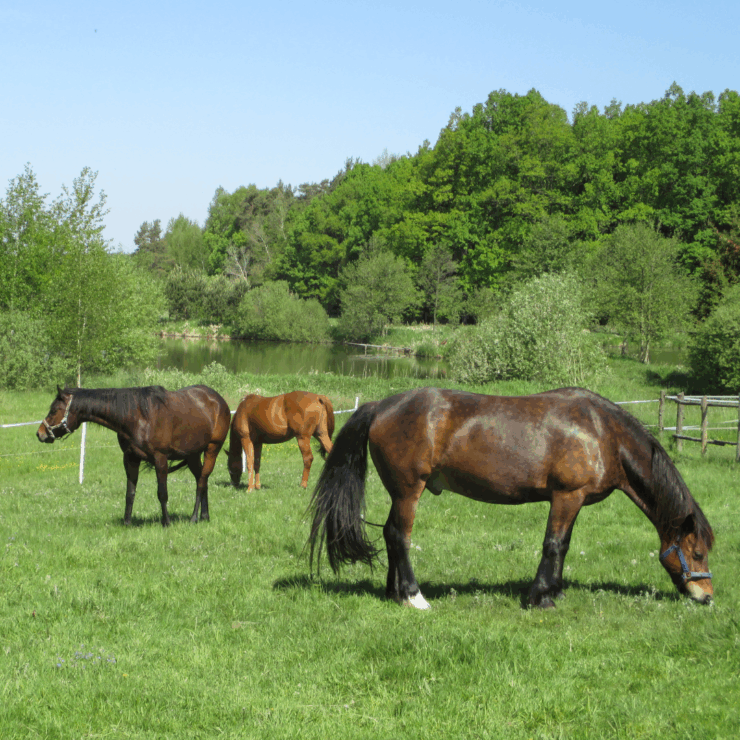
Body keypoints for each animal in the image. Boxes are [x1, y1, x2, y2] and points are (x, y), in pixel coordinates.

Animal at [37, 385, 231, 527]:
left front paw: (166, 522)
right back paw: (205, 515)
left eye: (54, 410)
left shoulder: (160, 460)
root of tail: (218, 400)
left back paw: (194, 518)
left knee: (201, 481)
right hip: (192, 455)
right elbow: (130, 493)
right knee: (202, 480)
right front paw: (127, 523)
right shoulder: (130, 459)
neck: (138, 417)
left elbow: (162, 493)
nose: (40, 434)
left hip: (212, 449)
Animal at [308, 386, 714, 610]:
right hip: (410, 491)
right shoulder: (567, 496)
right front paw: (541, 597)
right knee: (399, 536)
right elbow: (554, 545)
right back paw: (414, 596)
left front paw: (554, 592)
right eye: (697, 553)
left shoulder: (573, 502)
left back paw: (395, 595)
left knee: (391, 535)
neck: (602, 434)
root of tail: (381, 406)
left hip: (400, 494)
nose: (706, 595)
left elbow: (564, 546)